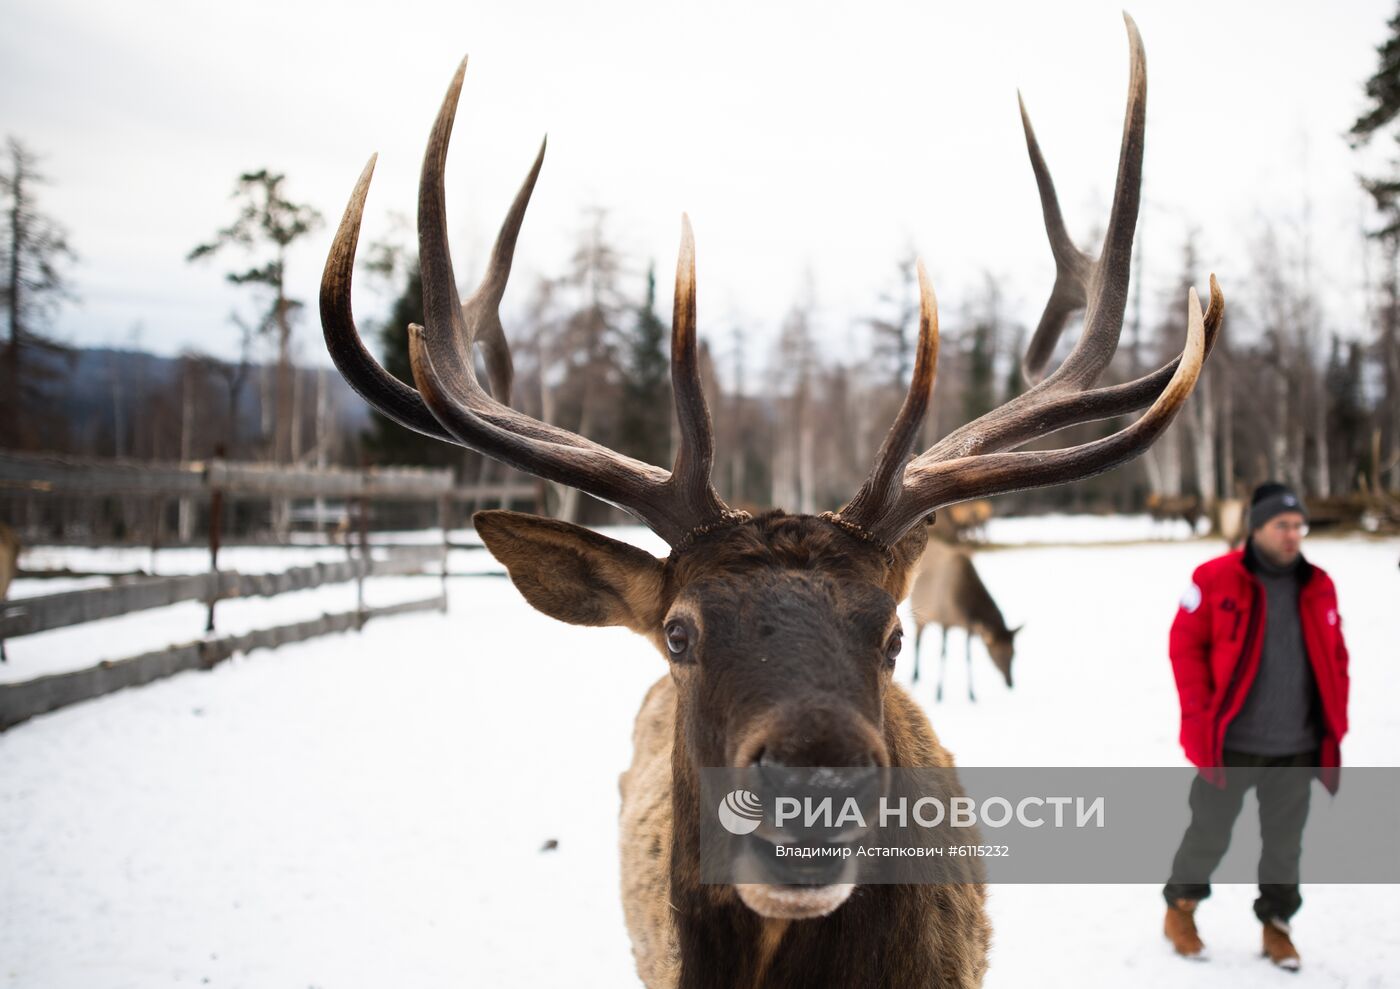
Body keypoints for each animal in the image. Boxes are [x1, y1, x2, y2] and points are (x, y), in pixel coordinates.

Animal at [907, 537, 1019, 700]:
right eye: (998, 654)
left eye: (1014, 653)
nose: (1010, 683)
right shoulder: (945, 621)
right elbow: (943, 654)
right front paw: (939, 693)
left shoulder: (969, 628)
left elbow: (968, 657)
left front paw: (972, 694)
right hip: (920, 616)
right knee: (917, 642)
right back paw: (914, 676)